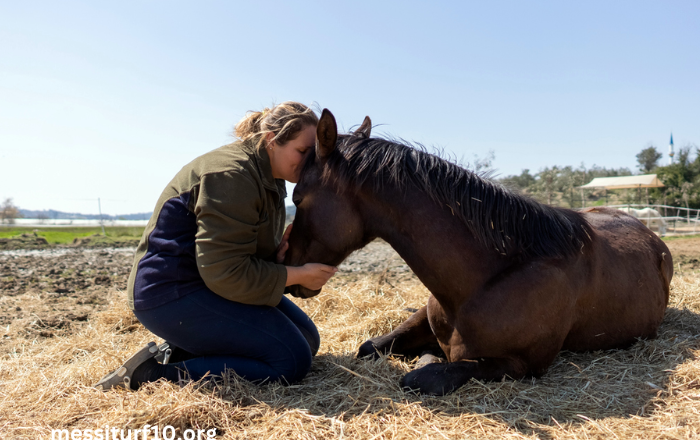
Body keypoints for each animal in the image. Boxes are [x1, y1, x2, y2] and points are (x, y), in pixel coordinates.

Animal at [284, 110, 672, 396]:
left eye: (298, 197)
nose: (287, 264)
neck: (487, 279)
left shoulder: (518, 364)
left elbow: (420, 375)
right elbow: (370, 347)